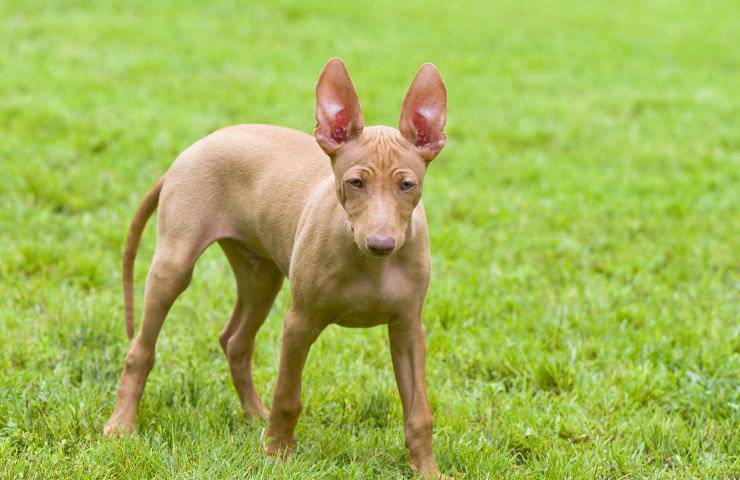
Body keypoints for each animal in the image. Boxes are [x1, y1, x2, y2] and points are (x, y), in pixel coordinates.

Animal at [104, 58, 448, 477]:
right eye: (355, 183)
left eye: (407, 186)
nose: (381, 244)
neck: (370, 266)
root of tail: (193, 149)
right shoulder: (299, 322)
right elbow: (287, 395)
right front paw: (275, 455)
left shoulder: (408, 328)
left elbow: (419, 413)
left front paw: (427, 469)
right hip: (174, 265)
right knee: (142, 350)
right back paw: (121, 424)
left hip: (261, 277)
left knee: (235, 341)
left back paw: (255, 416)